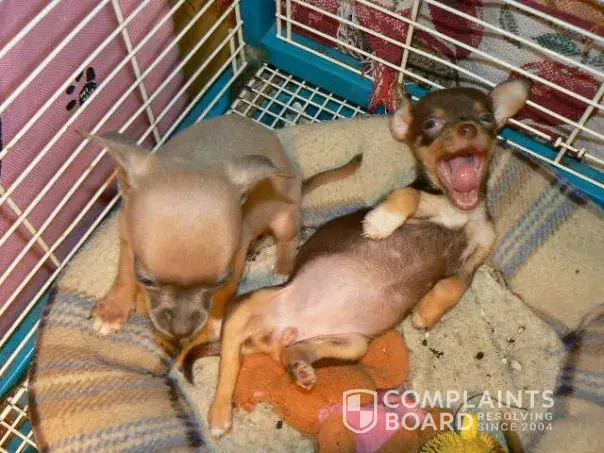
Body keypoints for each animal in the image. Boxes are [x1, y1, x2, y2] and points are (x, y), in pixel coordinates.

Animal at [86, 115, 302, 348]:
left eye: (220, 282)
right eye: (146, 281)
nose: (181, 331)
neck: (197, 156)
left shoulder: (237, 252)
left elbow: (223, 294)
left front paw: (213, 323)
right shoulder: (128, 239)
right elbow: (124, 273)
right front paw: (113, 310)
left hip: (286, 216)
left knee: (290, 238)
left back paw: (282, 268)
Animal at [196, 79, 531, 437]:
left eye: (486, 119)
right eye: (431, 124)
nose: (468, 129)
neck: (459, 210)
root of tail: (272, 334)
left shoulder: (476, 254)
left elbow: (457, 283)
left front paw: (427, 312)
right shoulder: (405, 200)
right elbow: (407, 194)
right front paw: (381, 224)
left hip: (352, 343)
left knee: (292, 351)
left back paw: (299, 365)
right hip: (251, 305)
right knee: (229, 362)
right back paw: (219, 413)